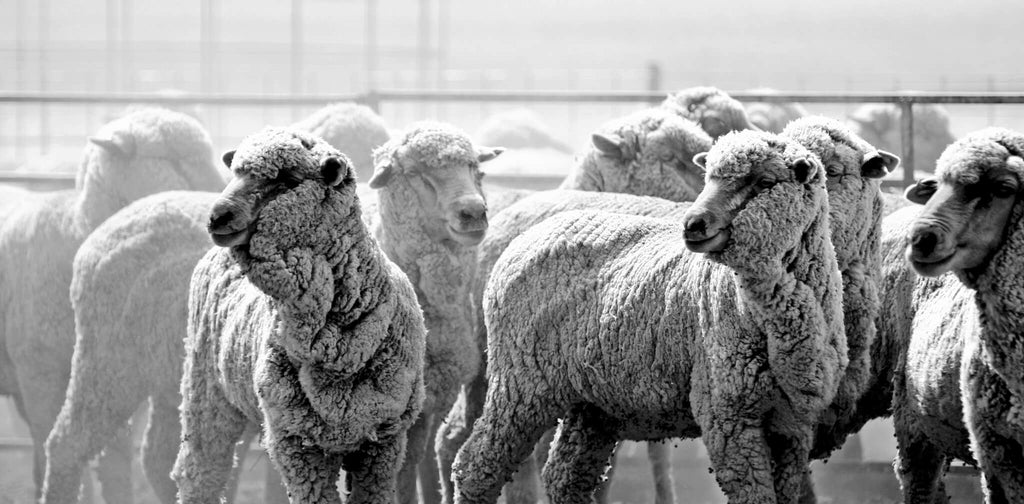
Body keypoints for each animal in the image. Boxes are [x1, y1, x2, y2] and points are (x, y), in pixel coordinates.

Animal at [172, 127, 423, 504]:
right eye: (235, 173)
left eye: (287, 180)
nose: (217, 217)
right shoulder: (296, 442)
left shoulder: (384, 439)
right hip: (205, 390)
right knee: (200, 471)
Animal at [370, 120, 505, 504]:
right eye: (415, 173)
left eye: (476, 168)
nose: (473, 212)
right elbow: (402, 466)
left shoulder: (440, 390)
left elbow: (420, 459)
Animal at [456, 129, 847, 504]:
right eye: (708, 177)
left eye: (765, 182)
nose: (693, 224)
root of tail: (527, 237)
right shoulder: (727, 414)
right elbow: (755, 495)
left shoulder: (793, 427)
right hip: (520, 382)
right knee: (475, 466)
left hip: (593, 403)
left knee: (565, 476)